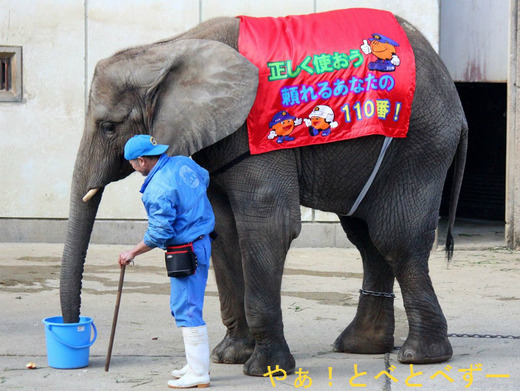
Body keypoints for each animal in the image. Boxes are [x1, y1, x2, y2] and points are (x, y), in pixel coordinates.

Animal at [61, 10, 468, 376]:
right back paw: (360, 347)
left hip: (419, 146)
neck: (169, 48)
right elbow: (223, 230)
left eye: (109, 127)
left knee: (394, 237)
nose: (75, 334)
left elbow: (268, 225)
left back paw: (420, 357)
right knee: (366, 238)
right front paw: (229, 356)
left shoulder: (251, 137)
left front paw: (264, 369)